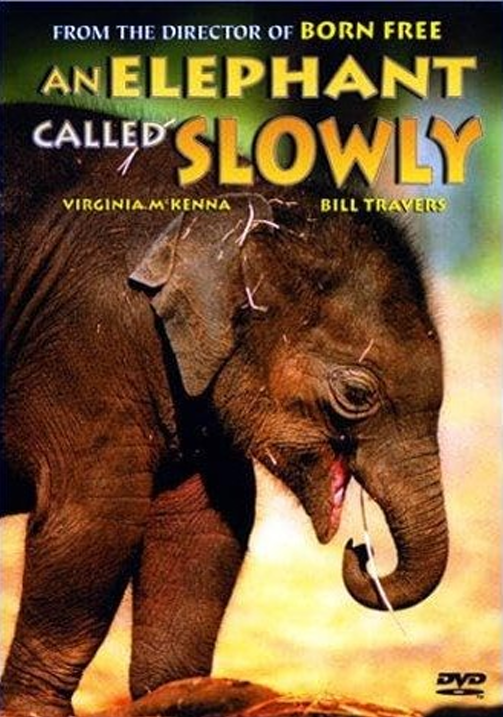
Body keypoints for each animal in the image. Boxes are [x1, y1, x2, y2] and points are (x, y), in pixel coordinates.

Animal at [0, 104, 448, 716]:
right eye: (358, 395)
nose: (361, 548)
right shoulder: (89, 344)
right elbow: (94, 521)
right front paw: (33, 711)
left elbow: (206, 526)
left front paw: (178, 695)